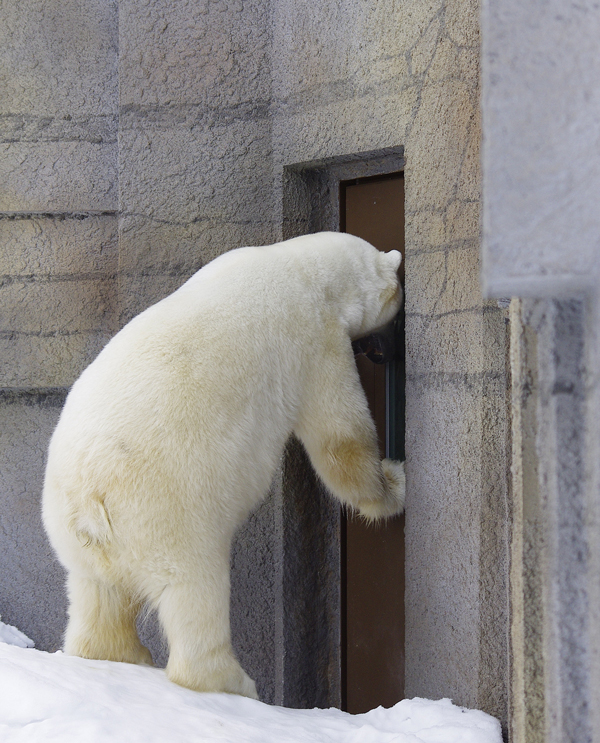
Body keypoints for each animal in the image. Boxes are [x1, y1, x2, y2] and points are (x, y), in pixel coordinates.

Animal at [42, 231, 406, 696]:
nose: (386, 347)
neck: (302, 266)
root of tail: (89, 504)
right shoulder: (314, 336)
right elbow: (339, 437)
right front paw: (392, 485)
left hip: (76, 538)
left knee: (96, 594)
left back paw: (117, 655)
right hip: (167, 513)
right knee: (195, 592)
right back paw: (232, 683)